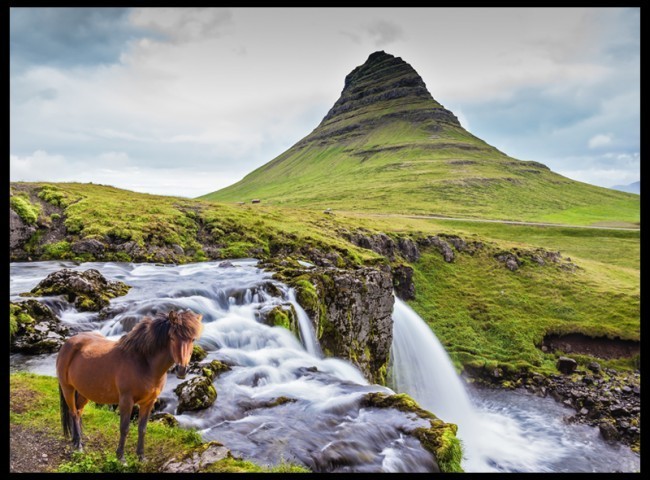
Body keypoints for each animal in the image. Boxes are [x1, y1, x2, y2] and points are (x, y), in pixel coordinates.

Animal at [55, 310, 202, 464]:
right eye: (172, 338)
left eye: (192, 340)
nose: (182, 370)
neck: (144, 363)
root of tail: (68, 344)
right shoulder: (126, 400)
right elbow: (124, 428)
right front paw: (121, 457)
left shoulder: (149, 402)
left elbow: (142, 429)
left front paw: (141, 456)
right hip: (68, 388)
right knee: (73, 413)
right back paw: (78, 445)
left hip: (84, 392)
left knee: (78, 412)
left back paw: (76, 440)